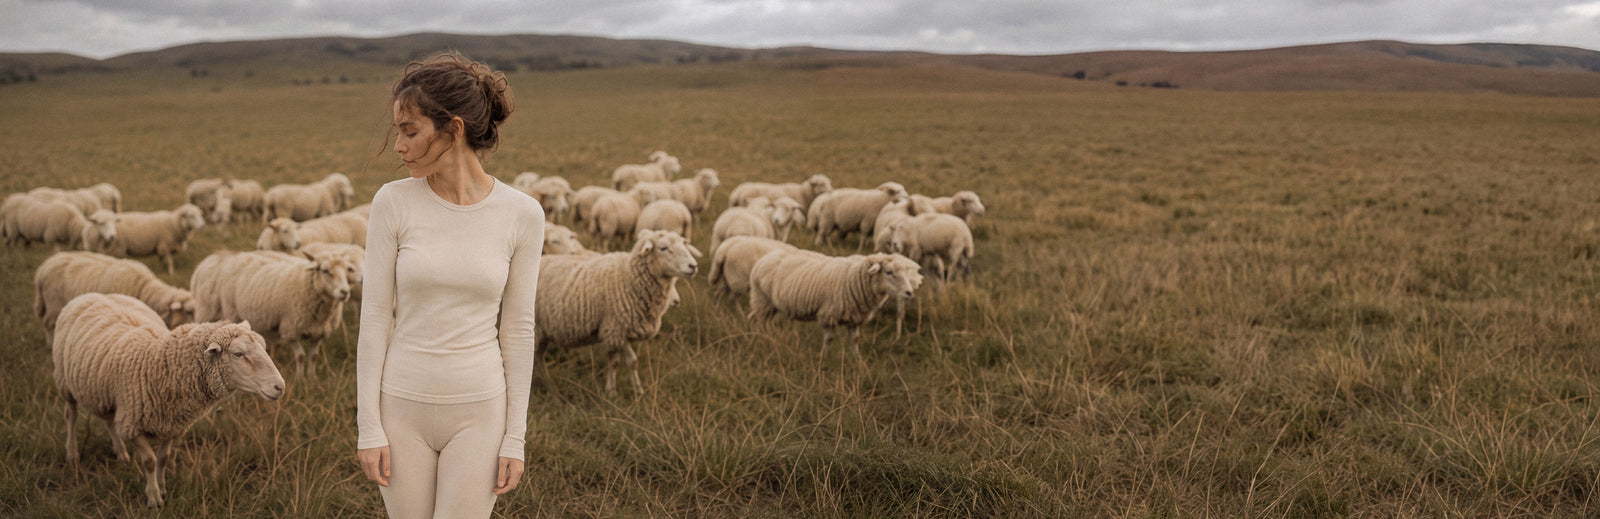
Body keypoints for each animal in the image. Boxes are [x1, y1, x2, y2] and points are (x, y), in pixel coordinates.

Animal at [35, 251, 196, 344]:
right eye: (189, 312)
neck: (144, 288)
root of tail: (42, 269)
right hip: (53, 304)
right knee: (48, 324)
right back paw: (49, 344)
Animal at [52, 292, 284, 508]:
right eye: (238, 354)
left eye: (263, 346)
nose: (280, 387)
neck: (154, 365)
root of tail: (93, 294)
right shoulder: (134, 426)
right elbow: (150, 461)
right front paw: (154, 498)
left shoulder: (172, 424)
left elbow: (163, 458)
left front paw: (162, 488)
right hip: (65, 383)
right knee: (71, 415)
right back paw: (72, 453)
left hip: (106, 394)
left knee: (110, 422)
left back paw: (121, 454)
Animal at [191, 249, 354, 378]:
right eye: (325, 270)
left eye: (347, 270)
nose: (345, 292)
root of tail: (212, 259)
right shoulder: (290, 330)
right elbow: (301, 356)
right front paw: (300, 379)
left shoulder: (319, 333)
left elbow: (313, 356)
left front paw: (311, 378)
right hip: (207, 311)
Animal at [533, 230, 701, 395]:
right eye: (663, 248)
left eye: (684, 244)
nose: (693, 266)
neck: (628, 276)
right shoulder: (615, 328)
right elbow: (623, 362)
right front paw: (624, 392)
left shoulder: (616, 331)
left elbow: (622, 362)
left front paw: (624, 392)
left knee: (538, 359)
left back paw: (550, 387)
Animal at [746, 251, 923, 360]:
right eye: (889, 272)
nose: (909, 293)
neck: (855, 277)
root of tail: (766, 257)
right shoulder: (828, 315)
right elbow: (829, 339)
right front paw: (823, 359)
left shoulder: (855, 318)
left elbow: (855, 340)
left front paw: (856, 360)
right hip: (761, 300)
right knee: (757, 320)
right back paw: (760, 340)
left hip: (769, 305)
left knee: (761, 321)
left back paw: (766, 337)